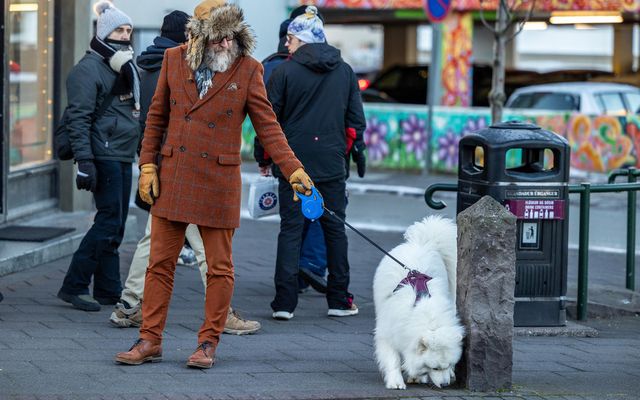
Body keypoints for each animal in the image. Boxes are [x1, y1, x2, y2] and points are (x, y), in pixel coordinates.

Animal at [372, 217, 462, 390]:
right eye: (435, 368)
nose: (445, 384)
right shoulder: (387, 333)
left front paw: (416, 376)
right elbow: (392, 359)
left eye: (448, 365)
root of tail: (425, 242)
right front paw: (396, 382)